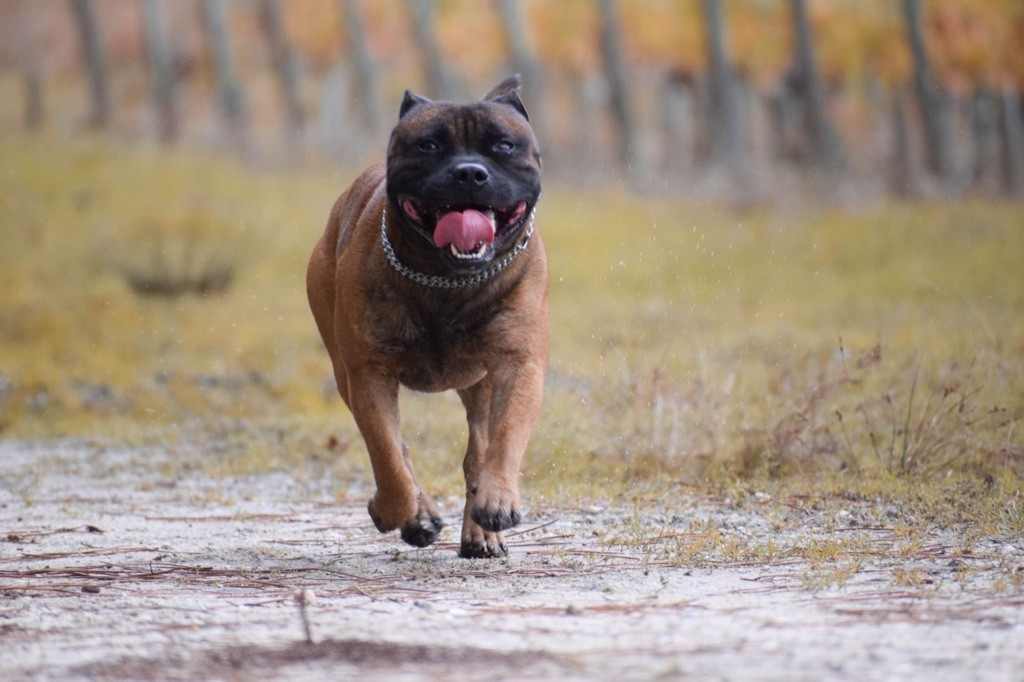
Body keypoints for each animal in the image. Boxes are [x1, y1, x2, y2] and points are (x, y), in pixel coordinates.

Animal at [303, 76, 544, 557]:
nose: (469, 172)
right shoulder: (368, 374)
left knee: (478, 449)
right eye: (429, 145)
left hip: (480, 383)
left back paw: (481, 532)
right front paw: (402, 511)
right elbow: (389, 457)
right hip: (342, 367)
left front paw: (498, 502)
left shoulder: (519, 364)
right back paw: (419, 515)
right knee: (399, 449)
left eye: (504, 146)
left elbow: (506, 436)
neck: (445, 278)